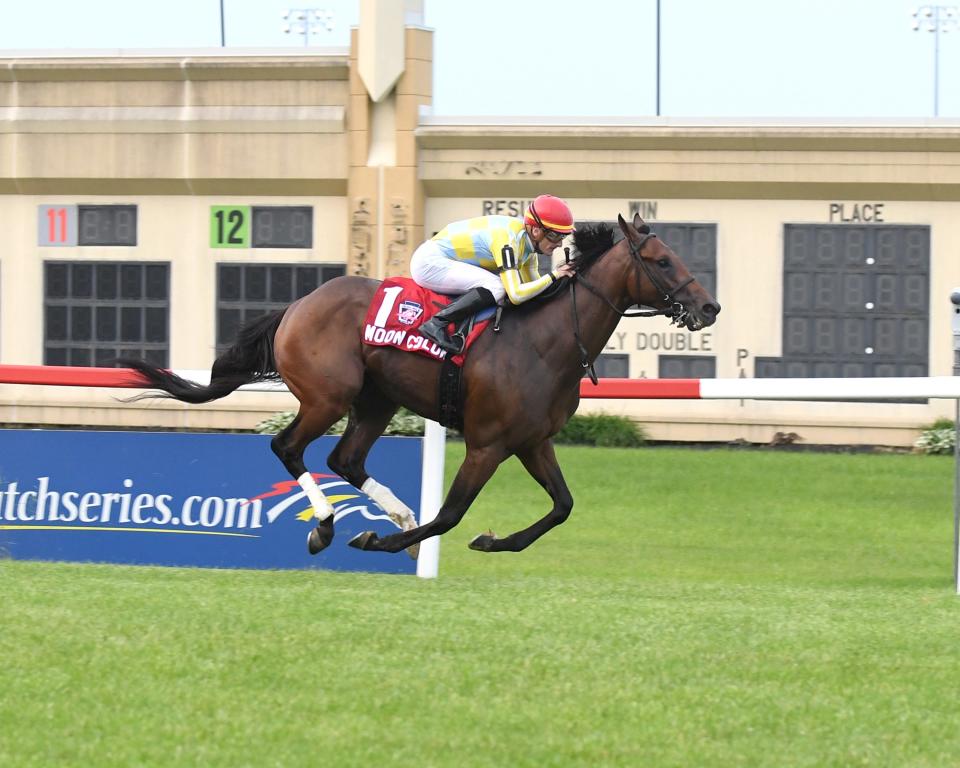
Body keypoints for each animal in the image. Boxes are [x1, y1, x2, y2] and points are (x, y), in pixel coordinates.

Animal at [122, 214, 720, 560]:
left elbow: (563, 506)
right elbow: (451, 514)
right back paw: (328, 526)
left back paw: (395, 512)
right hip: (328, 395)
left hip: (376, 400)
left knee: (344, 459)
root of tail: (297, 305)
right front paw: (385, 542)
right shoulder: (487, 442)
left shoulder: (533, 441)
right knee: (289, 447)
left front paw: (492, 541)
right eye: (662, 260)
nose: (709, 307)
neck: (544, 342)